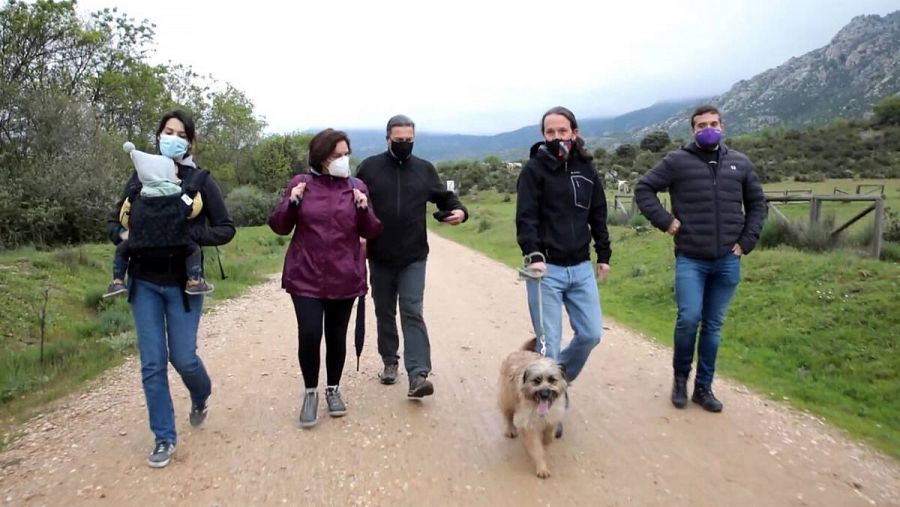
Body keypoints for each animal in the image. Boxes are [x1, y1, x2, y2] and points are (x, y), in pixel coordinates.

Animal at [500, 340, 568, 478]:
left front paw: (546, 441)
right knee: (509, 415)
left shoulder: (553, 416)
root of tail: (519, 352)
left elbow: (549, 435)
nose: (545, 394)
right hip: (508, 399)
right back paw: (511, 429)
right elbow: (536, 448)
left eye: (552, 380)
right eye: (537, 380)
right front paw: (542, 467)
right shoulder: (529, 425)